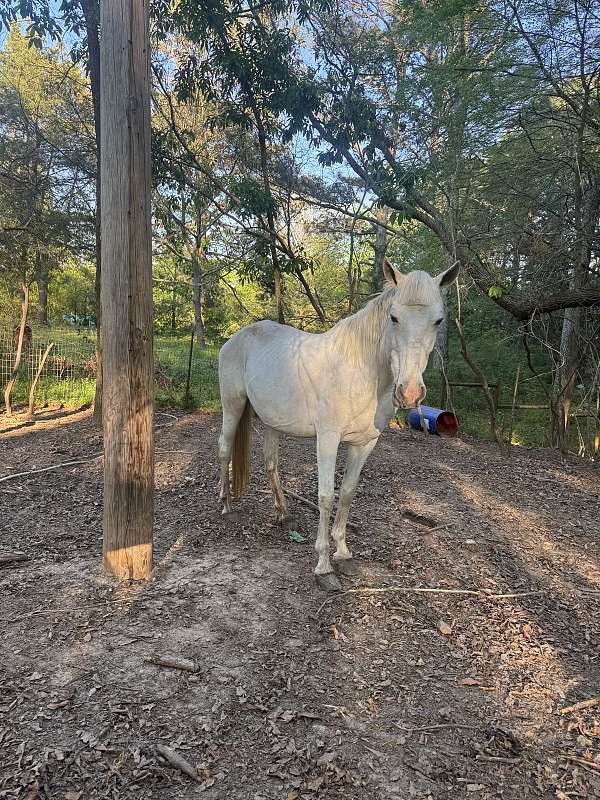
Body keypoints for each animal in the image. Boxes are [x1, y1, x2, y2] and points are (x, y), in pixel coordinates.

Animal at [218, 260, 460, 591]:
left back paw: (283, 513)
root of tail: (235, 339)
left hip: (271, 421)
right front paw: (323, 566)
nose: (409, 392)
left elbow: (346, 493)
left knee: (270, 463)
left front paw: (343, 552)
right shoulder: (328, 440)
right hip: (233, 407)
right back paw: (226, 505)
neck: (360, 371)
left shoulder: (364, 443)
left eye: (438, 320)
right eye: (394, 317)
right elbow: (326, 497)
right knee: (224, 450)